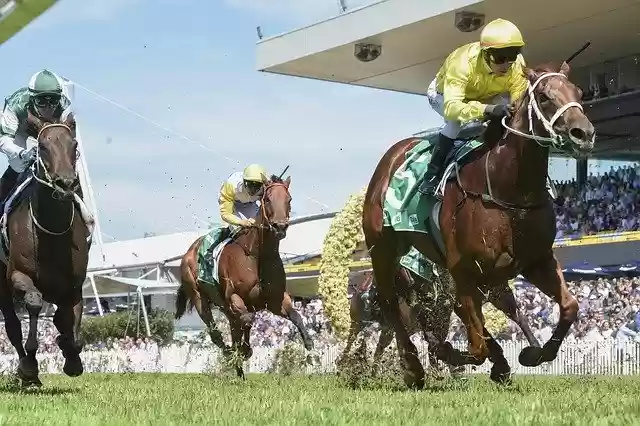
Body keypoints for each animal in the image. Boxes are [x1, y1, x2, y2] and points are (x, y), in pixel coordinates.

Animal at [0, 122, 91, 387]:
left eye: (74, 144)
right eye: (42, 146)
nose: (65, 184)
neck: (52, 232)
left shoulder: (74, 285)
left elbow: (69, 316)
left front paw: (71, 355)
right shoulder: (18, 275)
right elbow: (34, 303)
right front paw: (30, 363)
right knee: (12, 326)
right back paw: (26, 369)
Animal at [175, 175, 314, 378]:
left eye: (289, 199)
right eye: (267, 199)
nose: (280, 227)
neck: (258, 256)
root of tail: (189, 252)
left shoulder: (275, 300)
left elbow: (295, 315)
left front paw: (309, 343)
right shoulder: (235, 298)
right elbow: (248, 320)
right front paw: (243, 350)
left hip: (225, 307)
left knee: (235, 327)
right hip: (199, 297)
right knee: (215, 332)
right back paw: (230, 353)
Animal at [360, 62, 595, 389]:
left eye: (579, 93)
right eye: (545, 97)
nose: (583, 133)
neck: (507, 189)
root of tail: (392, 156)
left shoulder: (535, 261)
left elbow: (570, 307)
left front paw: (532, 354)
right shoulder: (463, 270)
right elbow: (475, 343)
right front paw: (452, 353)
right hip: (382, 249)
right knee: (391, 304)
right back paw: (413, 368)